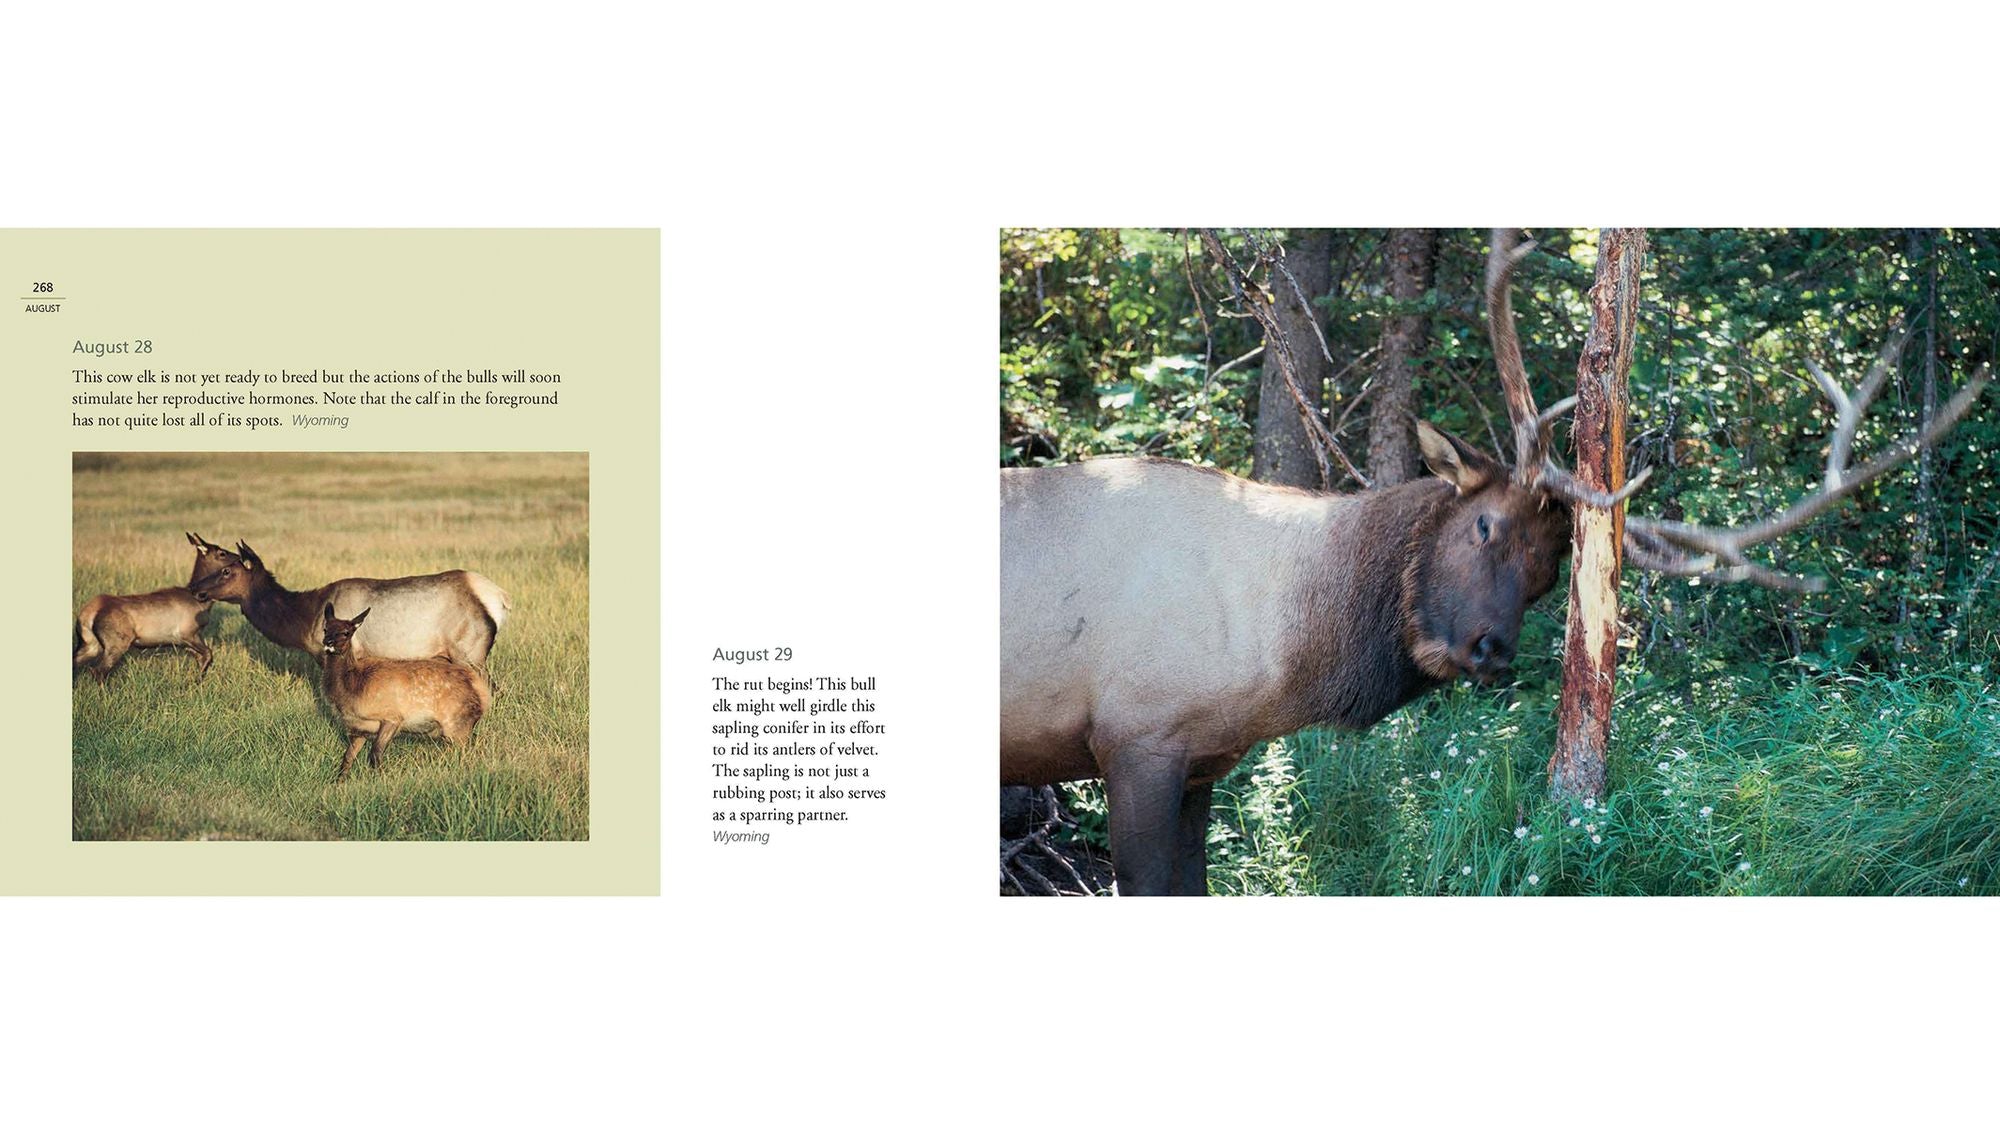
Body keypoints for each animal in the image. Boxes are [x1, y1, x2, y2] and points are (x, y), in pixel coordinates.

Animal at [73, 533, 242, 683]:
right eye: (222, 553)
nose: (239, 557)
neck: (201, 601)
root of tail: (87, 613)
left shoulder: (185, 641)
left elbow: (202, 658)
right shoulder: (187, 632)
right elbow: (208, 654)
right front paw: (196, 682)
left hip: (90, 644)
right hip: (116, 642)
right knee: (98, 671)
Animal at [316, 604, 491, 779]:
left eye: (347, 632)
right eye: (325, 628)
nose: (328, 642)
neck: (351, 689)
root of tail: (483, 693)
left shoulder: (392, 717)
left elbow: (375, 754)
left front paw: (380, 779)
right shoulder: (360, 729)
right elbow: (347, 757)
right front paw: (338, 781)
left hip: (457, 724)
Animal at [999, 228, 1991, 896]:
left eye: (1554, 571)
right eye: (1481, 526)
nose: (1490, 651)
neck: (1278, 656)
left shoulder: (1203, 759)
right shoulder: (1137, 736)